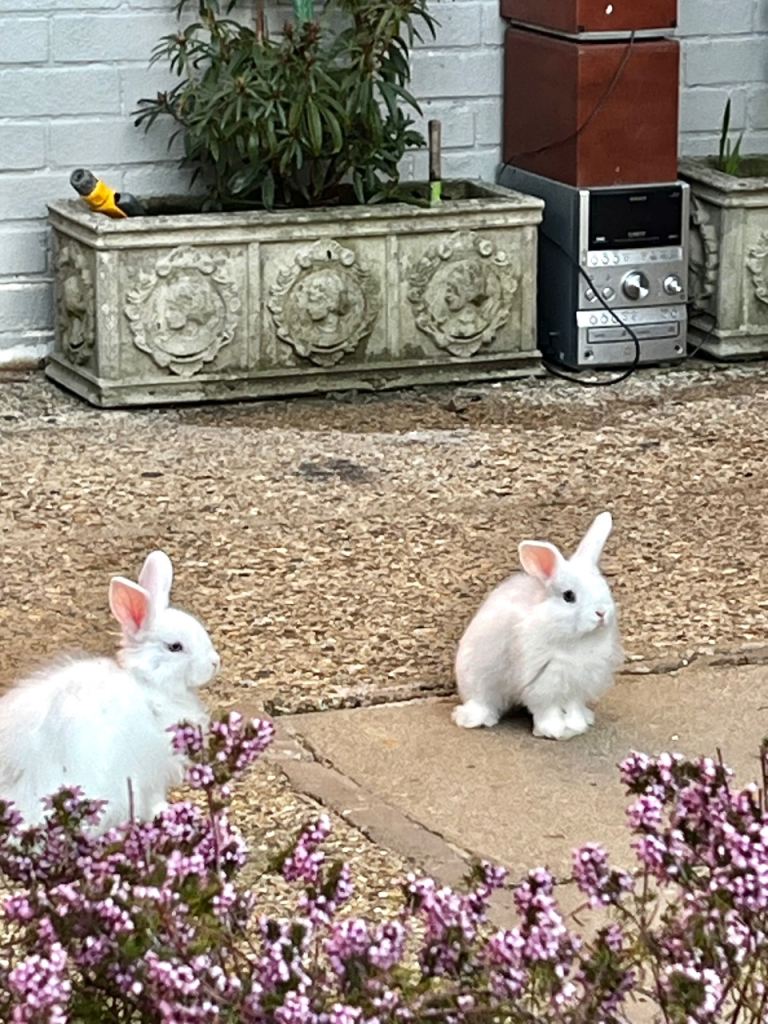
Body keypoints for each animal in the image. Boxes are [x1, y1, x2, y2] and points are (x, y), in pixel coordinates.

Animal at [0, 550, 220, 830]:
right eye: (175, 647)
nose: (215, 663)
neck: (148, 685)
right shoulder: (151, 770)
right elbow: (153, 799)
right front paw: (164, 812)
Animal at [452, 511, 622, 741]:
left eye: (605, 587)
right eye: (569, 596)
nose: (601, 613)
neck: (573, 640)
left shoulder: (577, 684)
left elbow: (573, 707)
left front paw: (577, 725)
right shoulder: (542, 681)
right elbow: (547, 710)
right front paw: (554, 730)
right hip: (477, 678)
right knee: (482, 700)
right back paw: (475, 719)